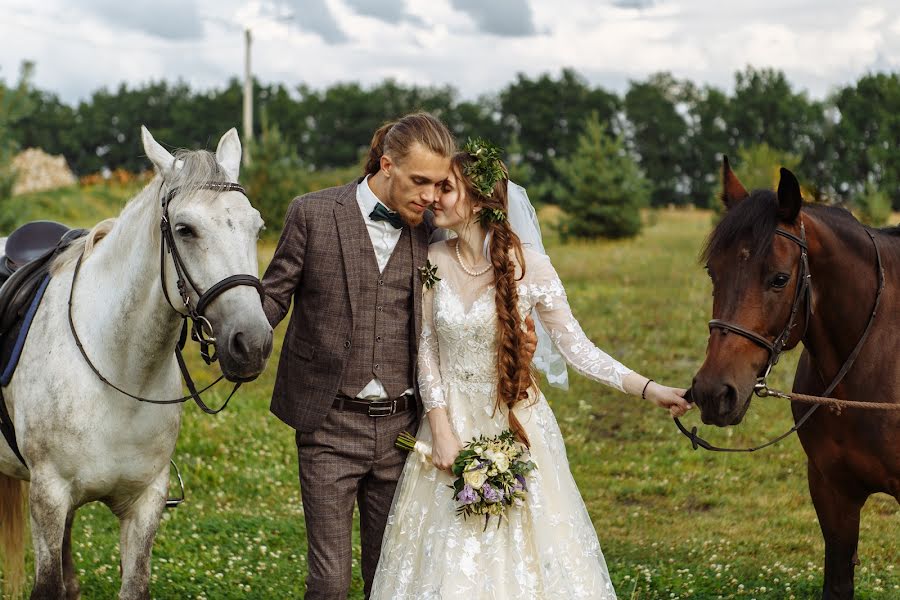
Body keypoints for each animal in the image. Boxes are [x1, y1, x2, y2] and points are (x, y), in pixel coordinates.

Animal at [0, 127, 270, 600]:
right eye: (184, 229)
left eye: (256, 227)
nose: (251, 343)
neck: (119, 371)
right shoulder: (48, 496)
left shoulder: (144, 505)